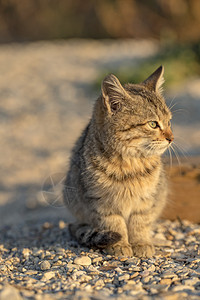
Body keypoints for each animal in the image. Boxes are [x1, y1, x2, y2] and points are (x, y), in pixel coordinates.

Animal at [63, 65, 173, 258]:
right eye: (153, 124)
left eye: (169, 122)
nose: (171, 138)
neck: (129, 164)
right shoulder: (102, 202)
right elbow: (114, 224)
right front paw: (120, 244)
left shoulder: (146, 199)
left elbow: (139, 221)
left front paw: (140, 242)